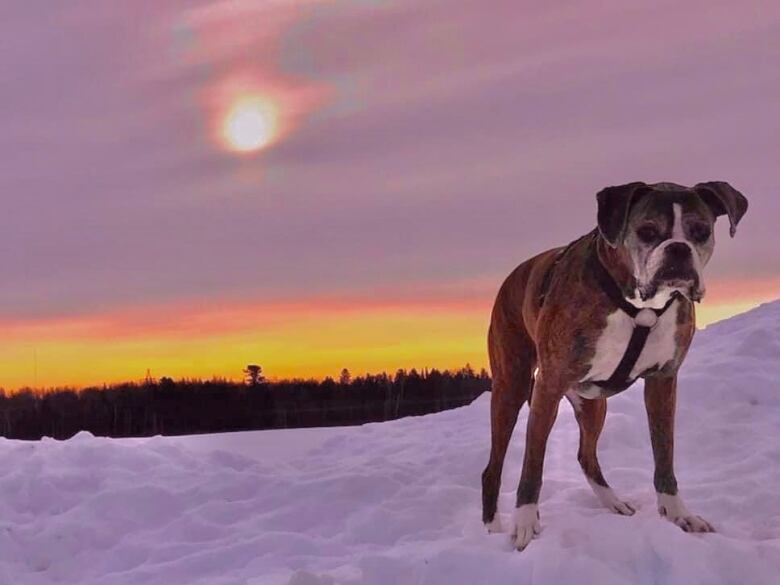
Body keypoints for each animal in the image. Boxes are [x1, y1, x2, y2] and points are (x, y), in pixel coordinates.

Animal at [482, 180, 748, 548]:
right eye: (647, 231)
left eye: (701, 231)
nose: (678, 249)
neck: (640, 305)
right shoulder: (548, 387)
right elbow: (532, 463)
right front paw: (524, 523)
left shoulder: (663, 381)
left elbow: (664, 452)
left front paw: (677, 514)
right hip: (512, 388)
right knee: (493, 467)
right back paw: (493, 526)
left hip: (594, 404)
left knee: (586, 455)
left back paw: (613, 501)